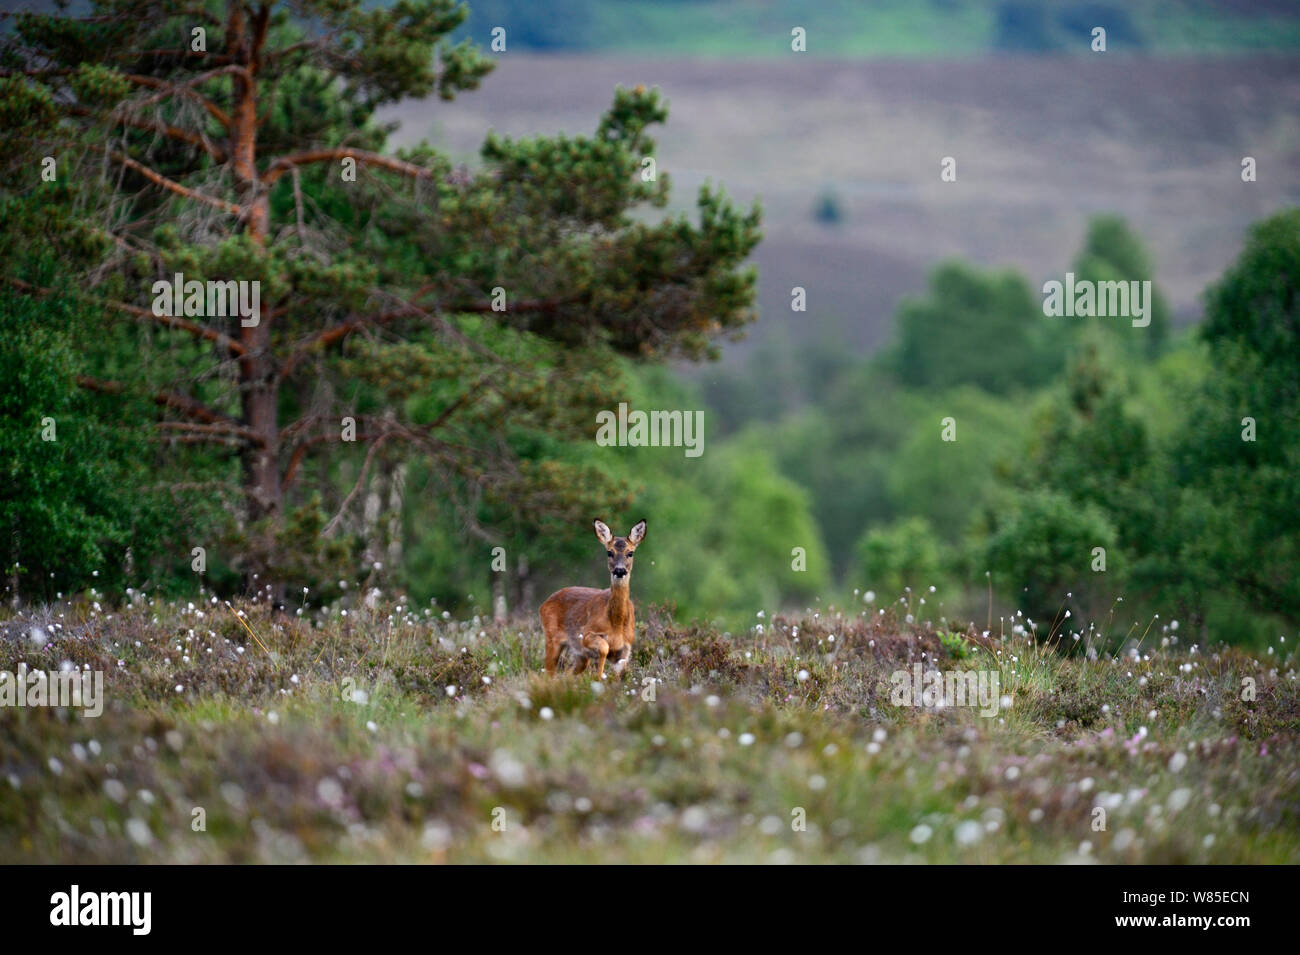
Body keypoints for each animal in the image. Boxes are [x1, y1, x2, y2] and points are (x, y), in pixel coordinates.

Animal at [538, 522, 644, 680]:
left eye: (630, 553)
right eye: (609, 552)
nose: (619, 571)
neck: (616, 624)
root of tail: (544, 604)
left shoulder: (625, 650)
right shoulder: (586, 634)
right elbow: (604, 648)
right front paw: (598, 676)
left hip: (579, 656)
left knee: (567, 673)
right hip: (552, 639)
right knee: (548, 674)